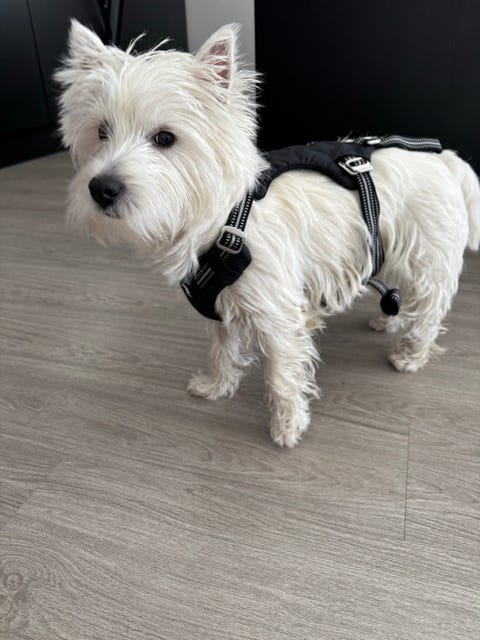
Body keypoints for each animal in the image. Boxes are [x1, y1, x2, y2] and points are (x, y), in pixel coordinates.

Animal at [55, 20, 480, 447]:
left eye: (164, 138)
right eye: (101, 132)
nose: (102, 188)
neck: (225, 222)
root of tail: (446, 160)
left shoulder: (276, 312)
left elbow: (281, 373)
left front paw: (287, 427)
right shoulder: (221, 304)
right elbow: (221, 348)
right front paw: (215, 386)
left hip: (426, 256)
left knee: (429, 308)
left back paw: (411, 355)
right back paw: (387, 321)